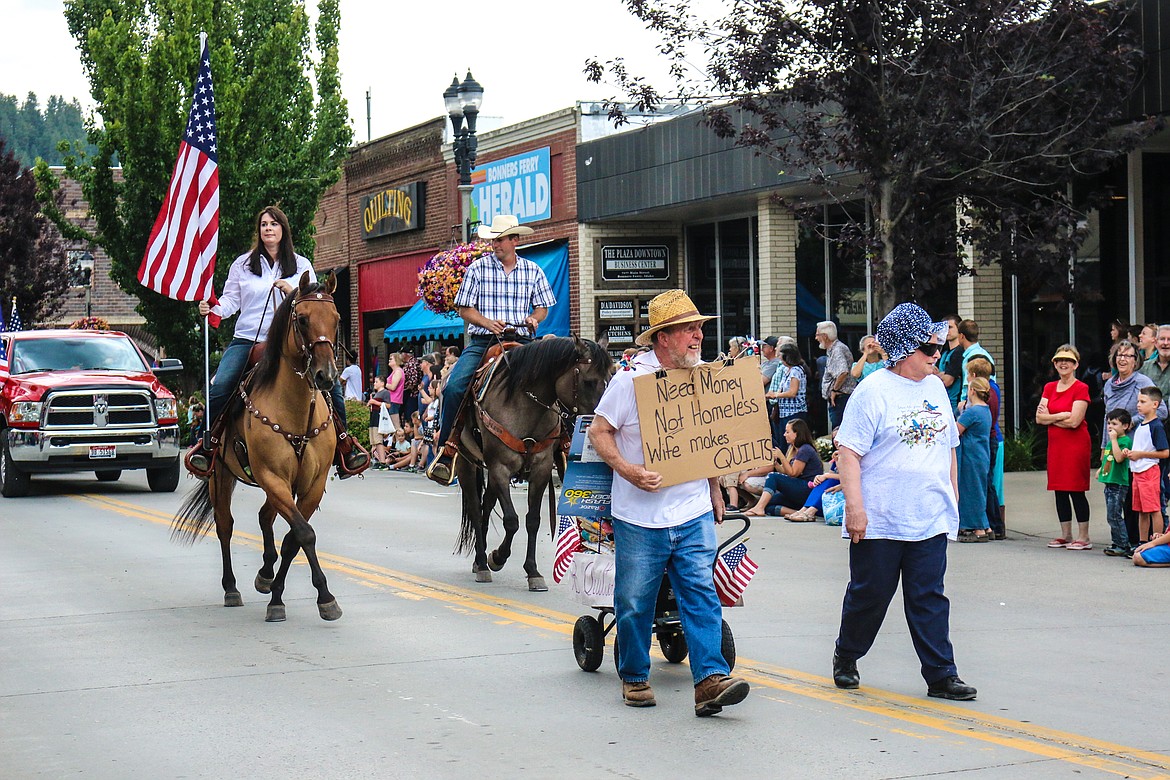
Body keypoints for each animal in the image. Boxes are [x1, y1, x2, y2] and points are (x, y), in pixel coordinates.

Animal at [170, 271, 341, 626]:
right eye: (302, 320)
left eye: (337, 319)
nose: (326, 376)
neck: (295, 410)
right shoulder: (272, 477)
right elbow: (303, 533)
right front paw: (324, 597)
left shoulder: (312, 485)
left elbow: (293, 539)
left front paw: (278, 594)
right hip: (220, 475)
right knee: (225, 525)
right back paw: (231, 589)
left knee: (265, 517)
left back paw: (264, 574)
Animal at [453, 336, 613, 591]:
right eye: (588, 382)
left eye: (611, 377)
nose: (601, 423)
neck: (525, 405)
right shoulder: (499, 469)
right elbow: (511, 521)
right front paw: (497, 557)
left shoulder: (541, 470)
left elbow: (533, 521)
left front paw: (533, 572)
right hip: (467, 464)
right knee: (476, 511)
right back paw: (482, 563)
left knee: (486, 505)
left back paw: (481, 559)